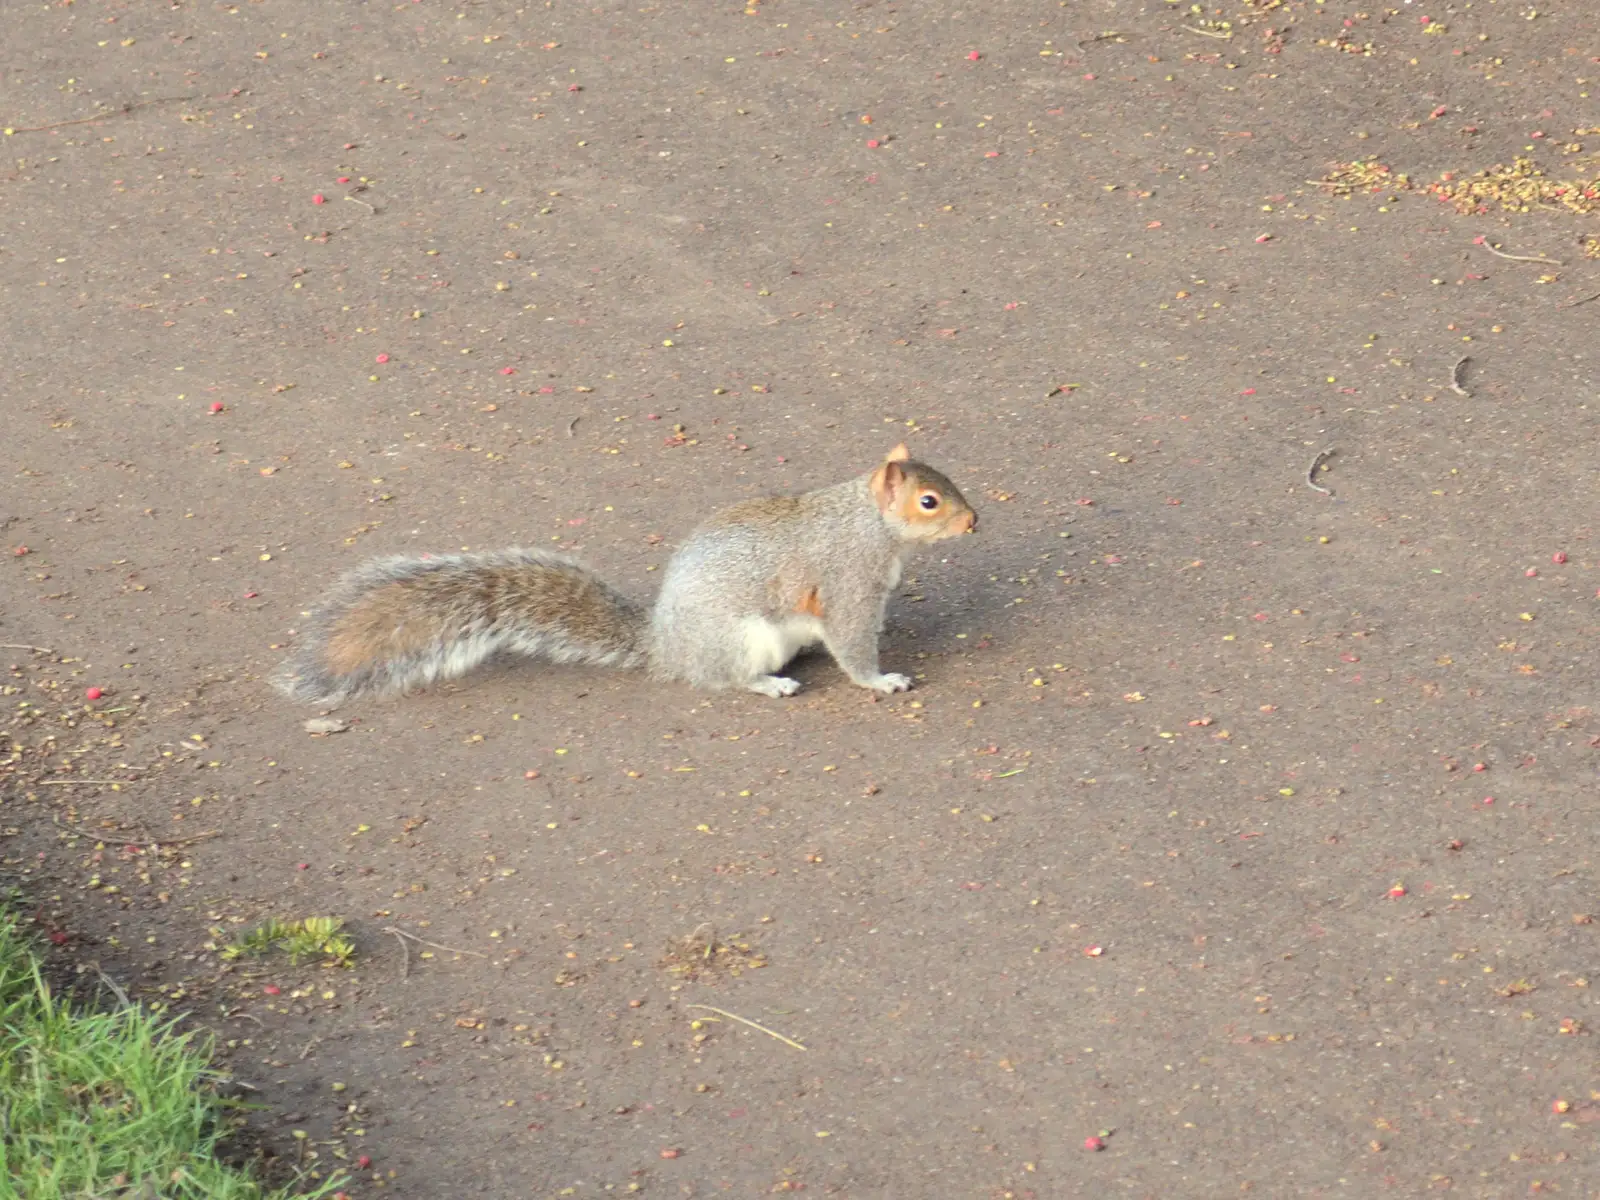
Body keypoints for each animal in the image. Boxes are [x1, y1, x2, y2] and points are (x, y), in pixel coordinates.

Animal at [275, 444, 972, 710]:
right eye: (928, 502)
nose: (973, 520)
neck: (869, 524)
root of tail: (665, 645)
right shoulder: (847, 580)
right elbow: (853, 643)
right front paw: (882, 679)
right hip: (741, 638)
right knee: (724, 677)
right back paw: (769, 684)